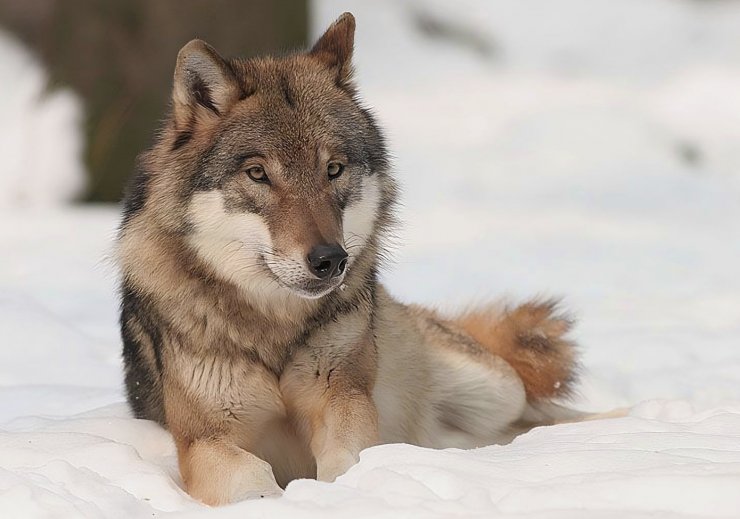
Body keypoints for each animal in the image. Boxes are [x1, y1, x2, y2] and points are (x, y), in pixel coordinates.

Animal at [115, 13, 600, 508]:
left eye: (333, 169)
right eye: (258, 174)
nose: (330, 260)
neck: (275, 328)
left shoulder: (345, 399)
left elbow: (348, 462)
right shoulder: (204, 439)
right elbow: (252, 479)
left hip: (498, 388)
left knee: (548, 415)